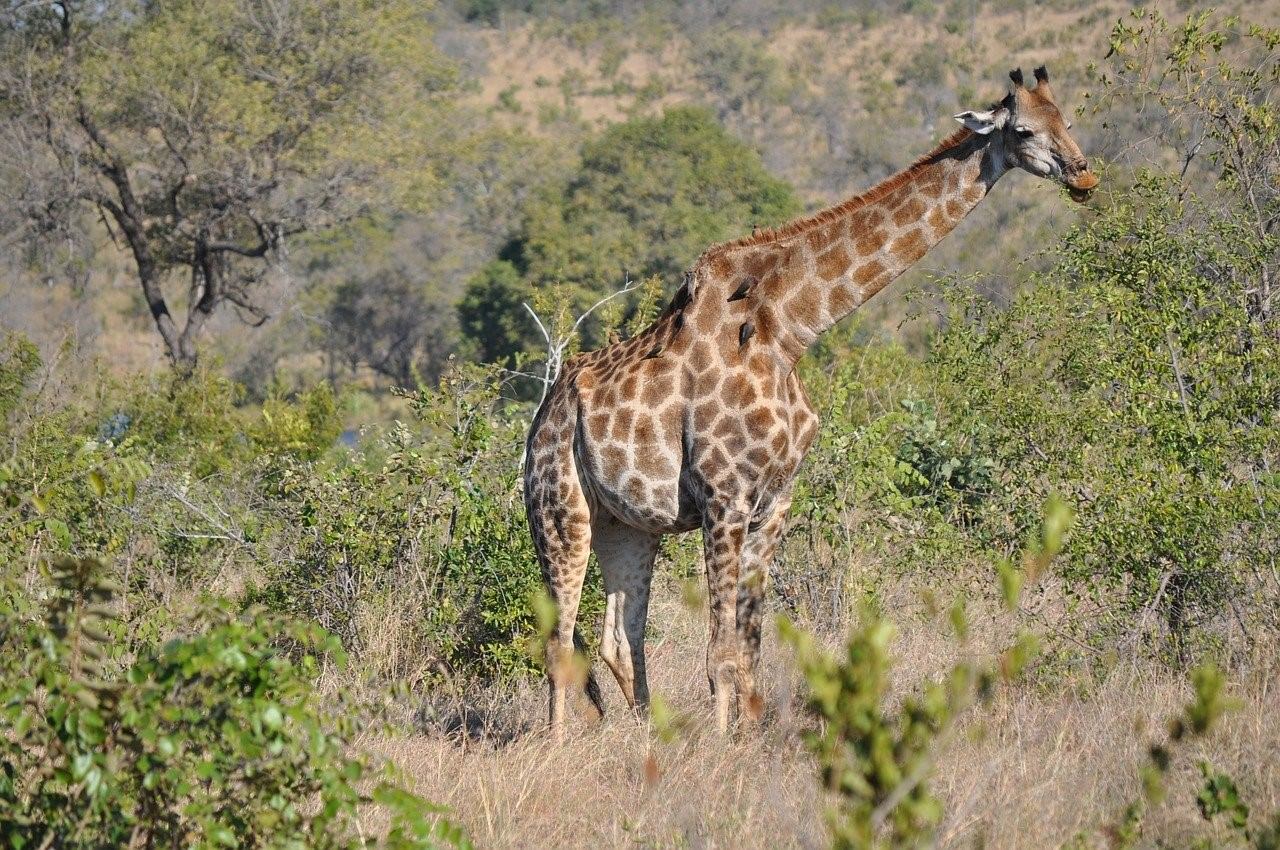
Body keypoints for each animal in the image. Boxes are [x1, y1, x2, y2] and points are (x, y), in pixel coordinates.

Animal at [522, 66, 1100, 732]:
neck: (791, 329)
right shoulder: (723, 496)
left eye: (1068, 118)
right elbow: (720, 651)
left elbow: (749, 646)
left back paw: (649, 739)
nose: (1084, 174)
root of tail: (539, 420)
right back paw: (559, 745)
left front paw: (742, 743)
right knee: (559, 640)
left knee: (620, 636)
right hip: (558, 507)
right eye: (1025, 129)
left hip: (628, 523)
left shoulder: (774, 500)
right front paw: (720, 749)